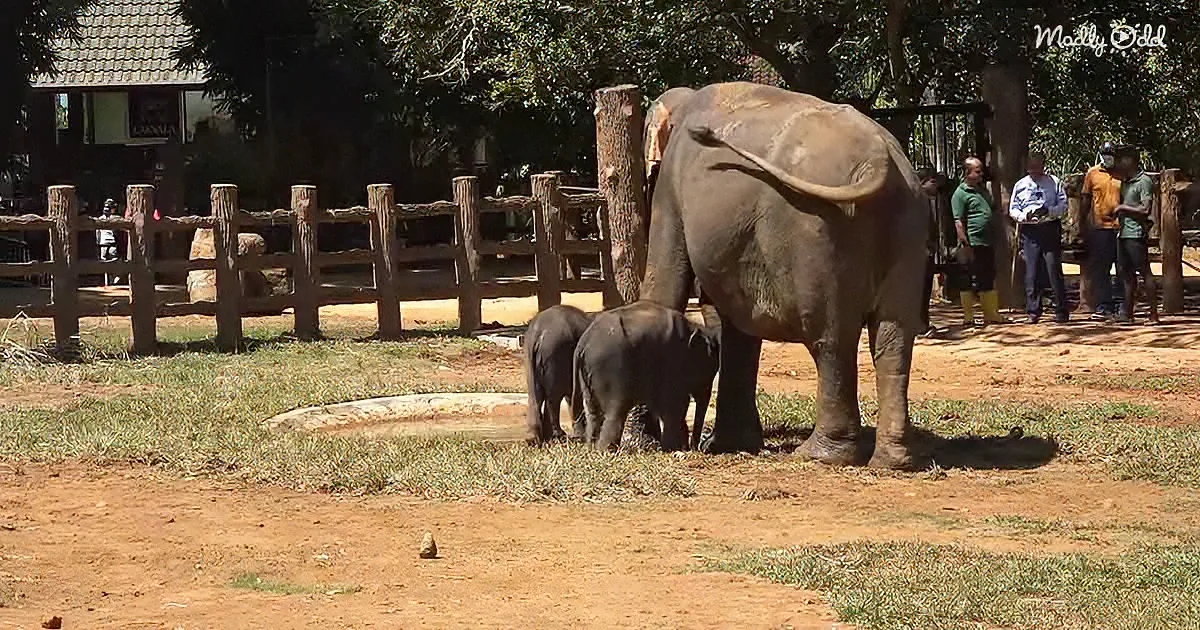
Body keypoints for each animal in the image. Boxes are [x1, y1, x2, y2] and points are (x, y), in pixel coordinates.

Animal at [523, 304, 595, 444]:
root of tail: (538, 333)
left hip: (530, 356)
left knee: (536, 394)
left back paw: (535, 439)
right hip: (556, 352)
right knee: (553, 397)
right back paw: (557, 436)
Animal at [573, 301, 720, 452]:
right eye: (709, 373)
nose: (696, 448)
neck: (693, 327)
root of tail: (583, 343)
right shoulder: (672, 359)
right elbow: (675, 402)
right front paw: (673, 448)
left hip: (587, 375)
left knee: (593, 412)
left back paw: (592, 449)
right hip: (612, 368)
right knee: (615, 411)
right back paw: (606, 451)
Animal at [640, 81, 928, 470]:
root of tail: (879, 158)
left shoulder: (671, 186)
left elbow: (668, 286)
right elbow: (735, 326)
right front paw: (730, 444)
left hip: (817, 231)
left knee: (829, 337)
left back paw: (820, 455)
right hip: (907, 224)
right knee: (893, 338)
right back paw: (892, 461)